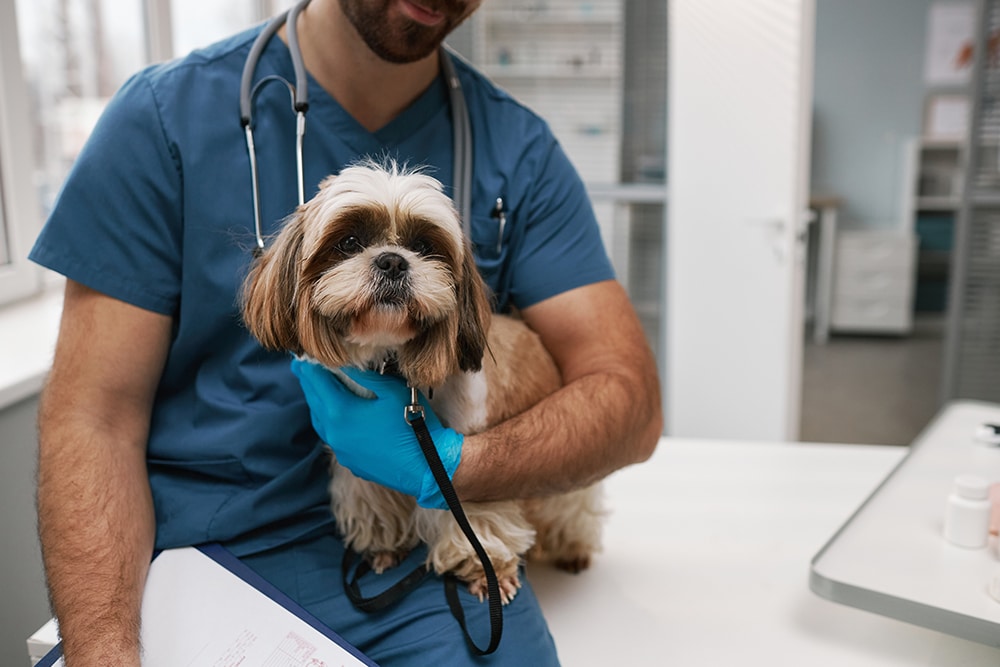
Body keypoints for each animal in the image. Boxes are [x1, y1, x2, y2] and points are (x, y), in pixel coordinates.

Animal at [242, 162, 600, 604]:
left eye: (424, 246)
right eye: (349, 242)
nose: (393, 261)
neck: (394, 370)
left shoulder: (466, 464)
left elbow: (475, 517)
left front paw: (486, 570)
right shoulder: (363, 461)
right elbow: (374, 497)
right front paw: (383, 547)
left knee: (571, 504)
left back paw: (572, 548)